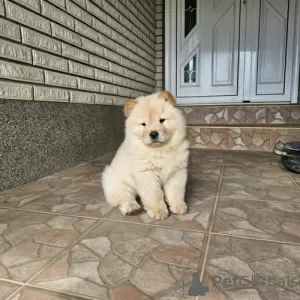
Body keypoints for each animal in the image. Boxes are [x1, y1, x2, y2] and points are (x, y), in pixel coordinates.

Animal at [102, 90, 189, 219]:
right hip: (115, 180)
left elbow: (176, 191)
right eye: (143, 124)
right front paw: (159, 211)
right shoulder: (146, 174)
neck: (159, 150)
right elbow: (155, 194)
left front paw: (179, 206)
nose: (153, 134)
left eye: (162, 120)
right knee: (124, 196)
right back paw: (132, 208)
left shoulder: (177, 171)